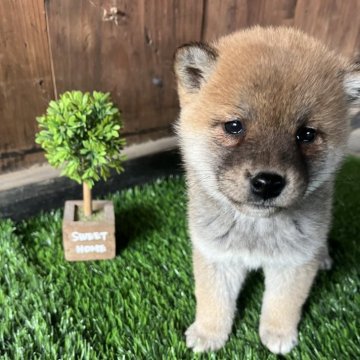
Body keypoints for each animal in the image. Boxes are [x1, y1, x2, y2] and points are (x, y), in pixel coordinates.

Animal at [173, 27, 358, 354]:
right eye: (234, 126)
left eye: (306, 134)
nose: (267, 183)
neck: (256, 229)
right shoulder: (217, 256)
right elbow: (213, 301)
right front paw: (209, 333)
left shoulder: (294, 262)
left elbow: (282, 304)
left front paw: (279, 333)